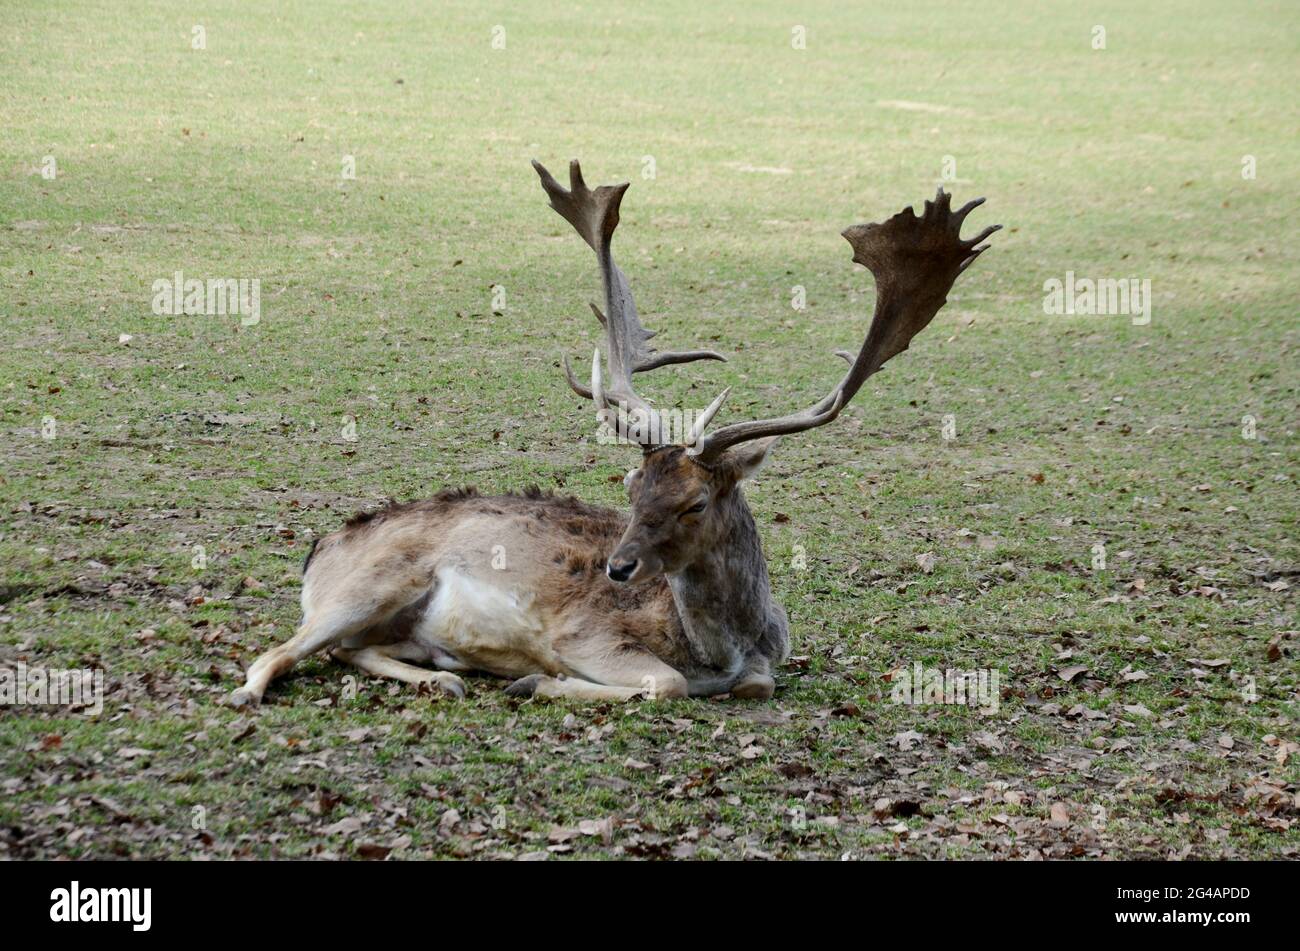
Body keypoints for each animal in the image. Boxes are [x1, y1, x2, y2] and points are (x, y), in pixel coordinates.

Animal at [228, 159, 998, 707]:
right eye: (629, 485)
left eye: (694, 502)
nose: (618, 568)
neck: (726, 645)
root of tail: (322, 547)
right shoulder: (585, 632)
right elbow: (665, 682)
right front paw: (534, 679)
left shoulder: (765, 663)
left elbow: (755, 683)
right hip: (367, 587)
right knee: (282, 651)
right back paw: (249, 694)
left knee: (345, 651)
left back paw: (443, 675)